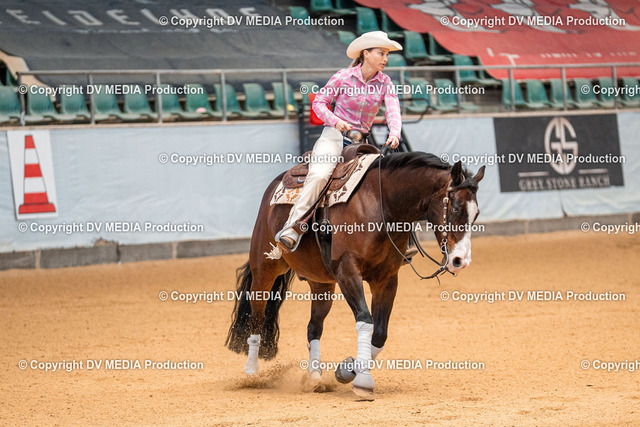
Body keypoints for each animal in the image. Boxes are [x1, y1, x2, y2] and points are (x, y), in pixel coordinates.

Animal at [226, 151, 485, 400]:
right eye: (454, 208)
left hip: (321, 284)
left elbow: (379, 333)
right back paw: (251, 372)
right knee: (257, 316)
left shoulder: (386, 279)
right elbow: (364, 321)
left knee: (314, 327)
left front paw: (348, 369)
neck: (381, 204)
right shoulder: (347, 270)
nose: (460, 261)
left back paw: (315, 377)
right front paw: (362, 382)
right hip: (265, 268)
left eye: (476, 214)